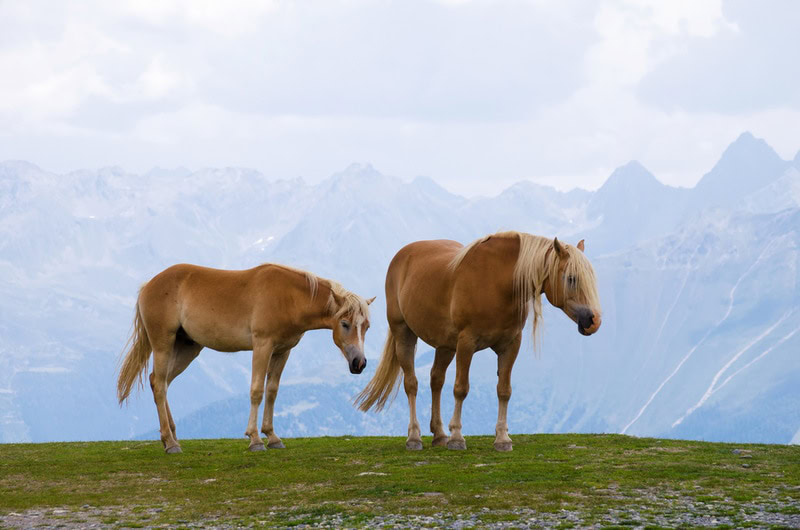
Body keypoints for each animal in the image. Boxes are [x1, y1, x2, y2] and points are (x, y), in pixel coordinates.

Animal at [117, 263, 374, 454]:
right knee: (160, 385)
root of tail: (149, 285)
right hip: (163, 344)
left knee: (159, 381)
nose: (359, 363)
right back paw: (170, 443)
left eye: (367, 327)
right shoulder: (262, 346)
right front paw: (255, 440)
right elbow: (257, 391)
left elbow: (272, 391)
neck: (288, 296)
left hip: (187, 348)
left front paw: (272, 437)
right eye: (345, 324)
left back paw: (170, 435)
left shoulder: (282, 351)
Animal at [355, 231, 601, 452]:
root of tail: (402, 255)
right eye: (571, 278)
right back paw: (415, 437)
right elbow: (461, 388)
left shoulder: (510, 345)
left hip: (445, 346)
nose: (593, 321)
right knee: (411, 384)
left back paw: (439, 435)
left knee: (436, 380)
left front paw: (502, 439)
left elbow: (504, 390)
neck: (498, 283)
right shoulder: (467, 343)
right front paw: (457, 438)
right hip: (404, 334)